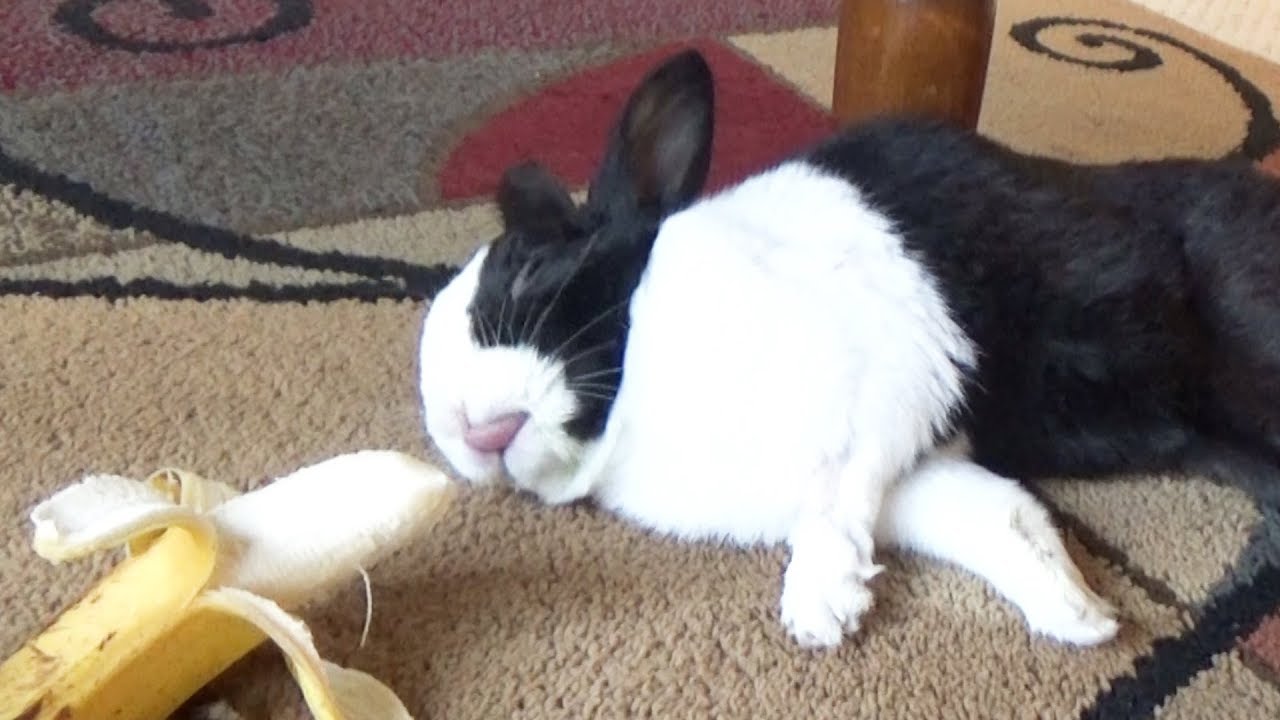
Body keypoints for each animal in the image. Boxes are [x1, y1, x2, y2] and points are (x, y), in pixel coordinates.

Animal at [418, 47, 1280, 650]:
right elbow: (996, 517)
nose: (455, 423)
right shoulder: (920, 471)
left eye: (525, 270)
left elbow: (837, 493)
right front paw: (1081, 615)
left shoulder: (892, 380)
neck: (635, 380)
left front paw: (819, 605)